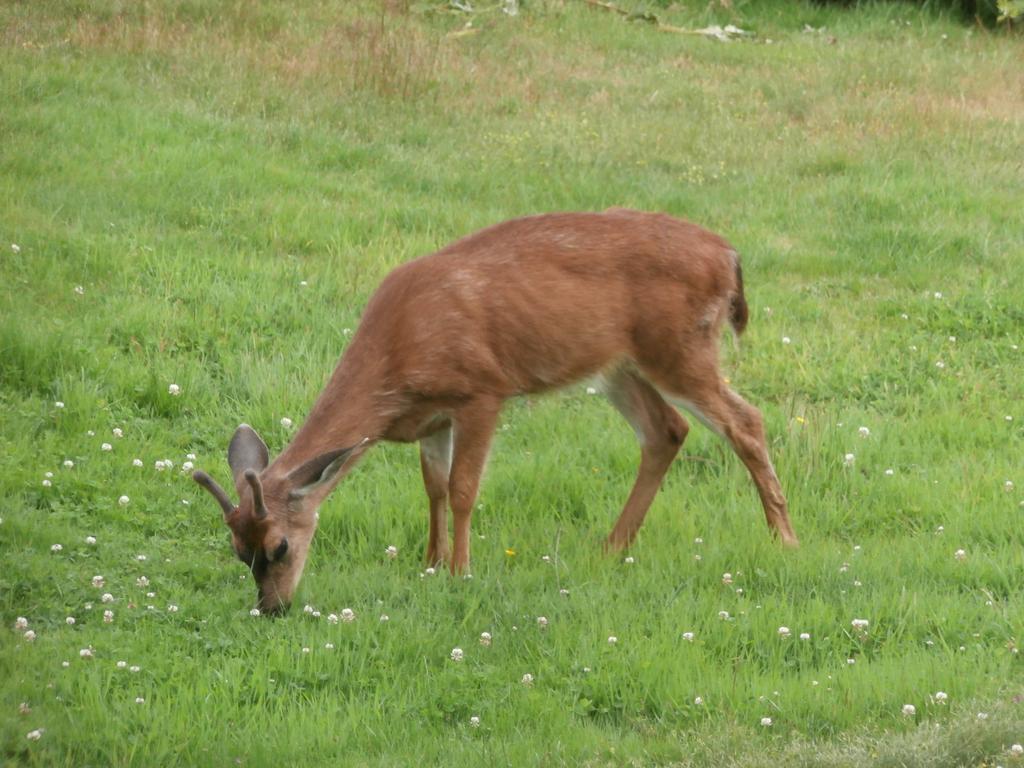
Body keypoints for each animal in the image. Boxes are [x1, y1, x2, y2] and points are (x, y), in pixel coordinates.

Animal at [193, 207, 798, 618]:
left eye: (280, 546)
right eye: (237, 549)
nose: (272, 607)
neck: (398, 354)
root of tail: (730, 257)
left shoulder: (481, 392)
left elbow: (463, 489)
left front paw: (460, 572)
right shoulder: (431, 419)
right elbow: (433, 487)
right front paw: (429, 563)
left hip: (679, 349)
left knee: (746, 421)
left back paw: (784, 539)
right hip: (618, 366)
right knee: (666, 431)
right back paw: (611, 546)